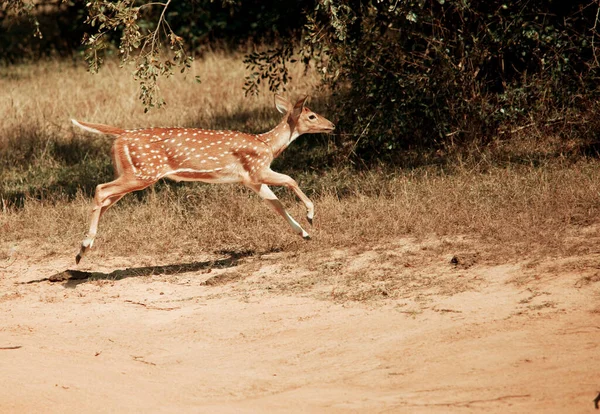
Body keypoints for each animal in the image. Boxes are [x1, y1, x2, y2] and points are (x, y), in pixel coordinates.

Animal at [70, 94, 338, 264]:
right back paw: (85, 245)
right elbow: (291, 179)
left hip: (131, 172)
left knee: (105, 200)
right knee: (101, 189)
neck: (268, 145)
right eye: (312, 116)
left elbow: (277, 205)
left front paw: (304, 234)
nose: (332, 125)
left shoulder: (251, 180)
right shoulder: (257, 168)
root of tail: (122, 135)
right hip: (143, 172)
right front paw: (310, 216)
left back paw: (82, 250)